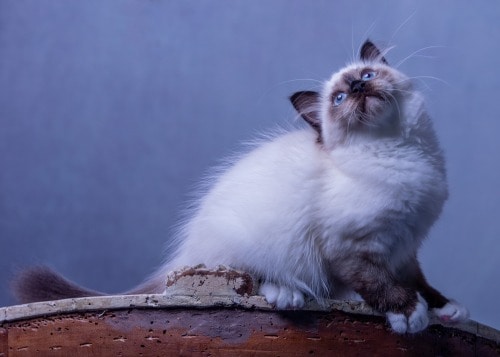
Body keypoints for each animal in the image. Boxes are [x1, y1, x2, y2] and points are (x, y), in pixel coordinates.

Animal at [13, 40, 470, 332]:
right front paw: (408, 315)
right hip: (254, 246)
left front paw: (445, 309)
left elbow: (419, 281)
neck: (399, 151)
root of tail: (184, 251)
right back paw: (287, 294)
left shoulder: (404, 246)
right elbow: (380, 285)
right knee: (252, 277)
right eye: (338, 100)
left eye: (367, 74)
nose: (357, 86)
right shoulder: (352, 247)